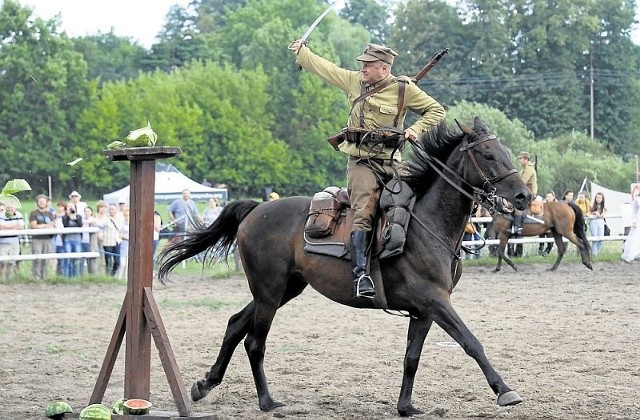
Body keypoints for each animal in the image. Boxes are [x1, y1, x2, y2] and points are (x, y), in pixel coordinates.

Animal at [158, 118, 532, 416]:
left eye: (505, 152)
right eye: (488, 155)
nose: (524, 196)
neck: (425, 223)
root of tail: (256, 210)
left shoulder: (424, 310)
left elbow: (411, 357)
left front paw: (406, 407)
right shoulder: (436, 301)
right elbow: (471, 342)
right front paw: (504, 391)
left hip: (283, 290)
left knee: (236, 325)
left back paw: (205, 384)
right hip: (269, 292)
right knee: (254, 341)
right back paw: (267, 402)